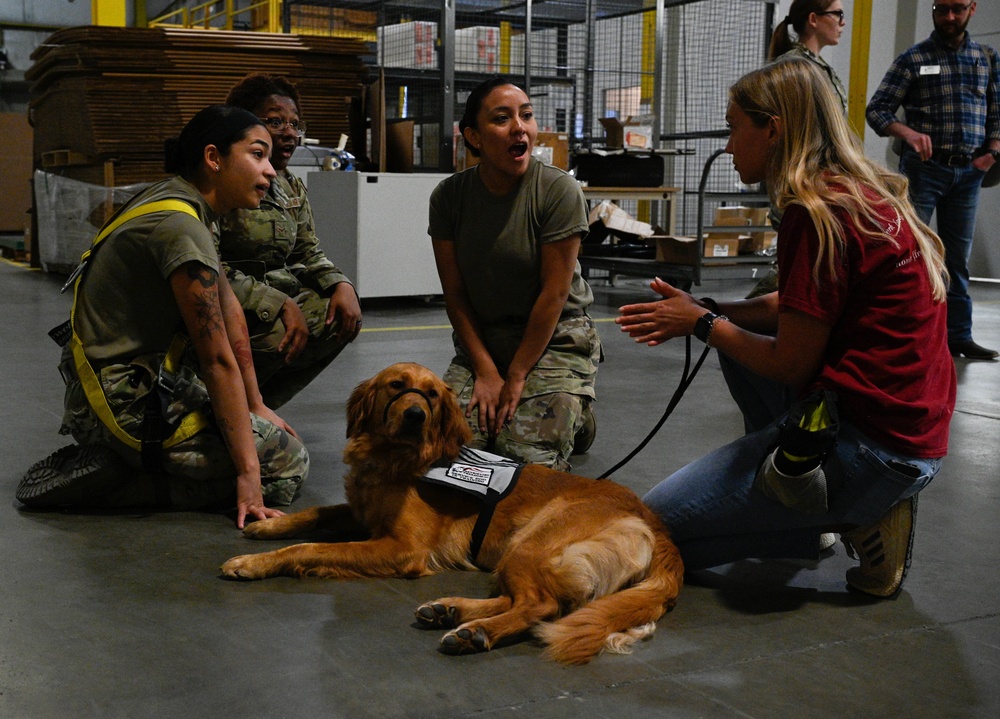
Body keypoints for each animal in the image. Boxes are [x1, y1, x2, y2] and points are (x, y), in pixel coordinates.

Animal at [222, 362, 684, 668]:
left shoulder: (401, 547)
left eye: (430, 395)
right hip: (519, 551)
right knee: (525, 599)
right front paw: (268, 524)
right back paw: (451, 612)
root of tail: (657, 526)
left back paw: (475, 633)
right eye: (396, 386)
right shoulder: (363, 513)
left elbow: (311, 547)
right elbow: (315, 514)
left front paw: (254, 563)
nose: (415, 415)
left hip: (531, 543)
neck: (395, 460)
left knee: (541, 605)